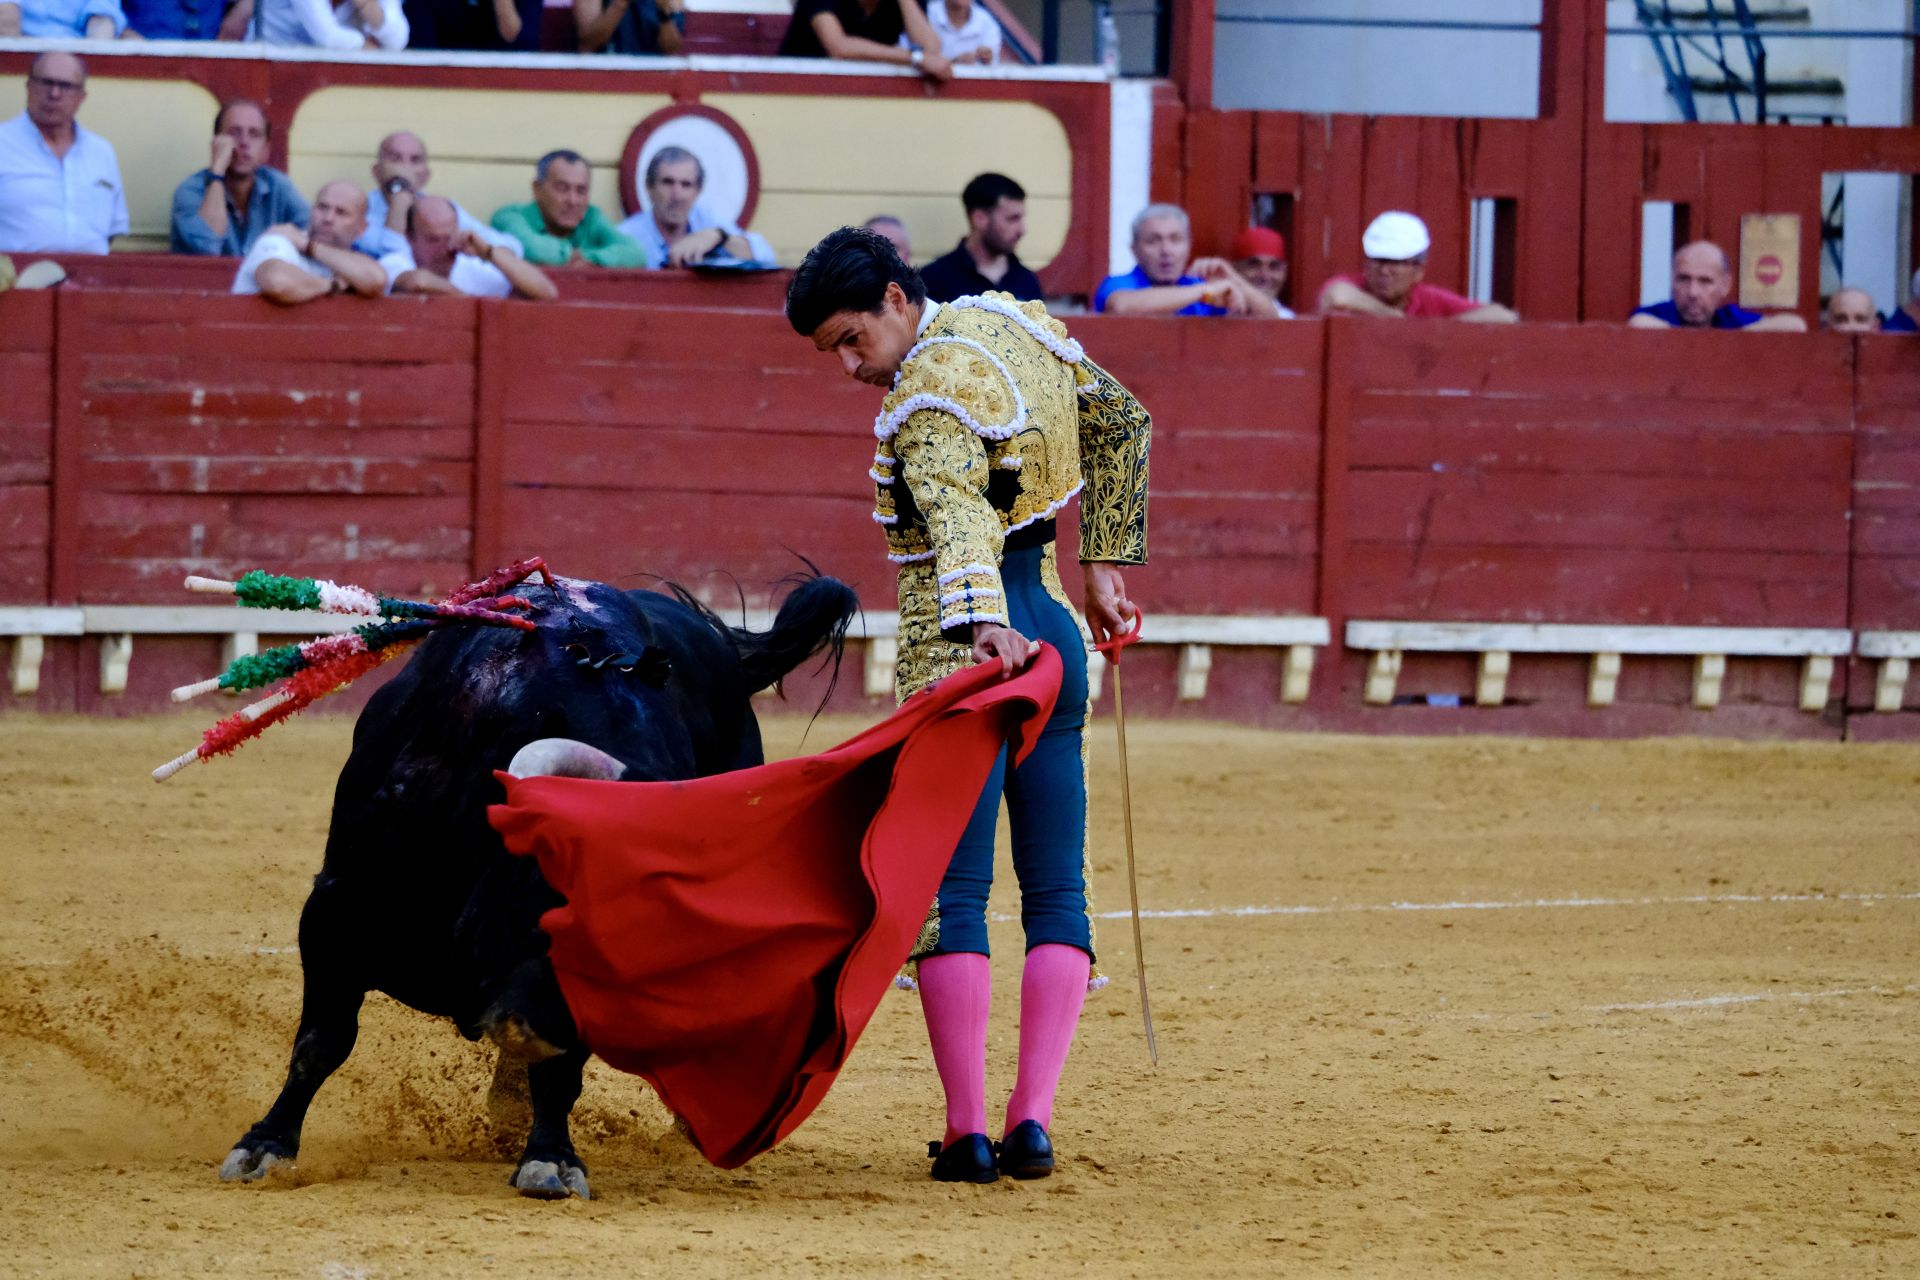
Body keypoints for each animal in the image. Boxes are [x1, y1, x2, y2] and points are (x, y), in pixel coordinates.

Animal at [217, 575, 856, 1197]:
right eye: (556, 910)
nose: (539, 1031)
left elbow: (561, 1075)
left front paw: (549, 1158)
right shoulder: (335, 907)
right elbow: (322, 1041)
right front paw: (265, 1146)